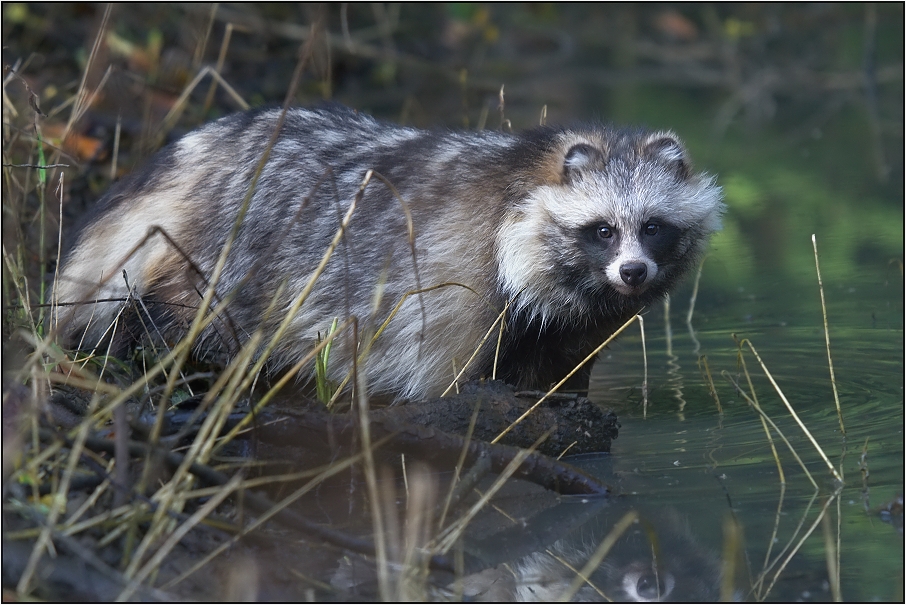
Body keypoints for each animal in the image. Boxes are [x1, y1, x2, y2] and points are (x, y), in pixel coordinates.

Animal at [54, 104, 720, 402]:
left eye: (653, 228)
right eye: (602, 230)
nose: (632, 272)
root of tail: (191, 155)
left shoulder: (571, 325)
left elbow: (558, 368)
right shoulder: (455, 275)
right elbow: (442, 380)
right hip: (227, 250)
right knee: (186, 317)